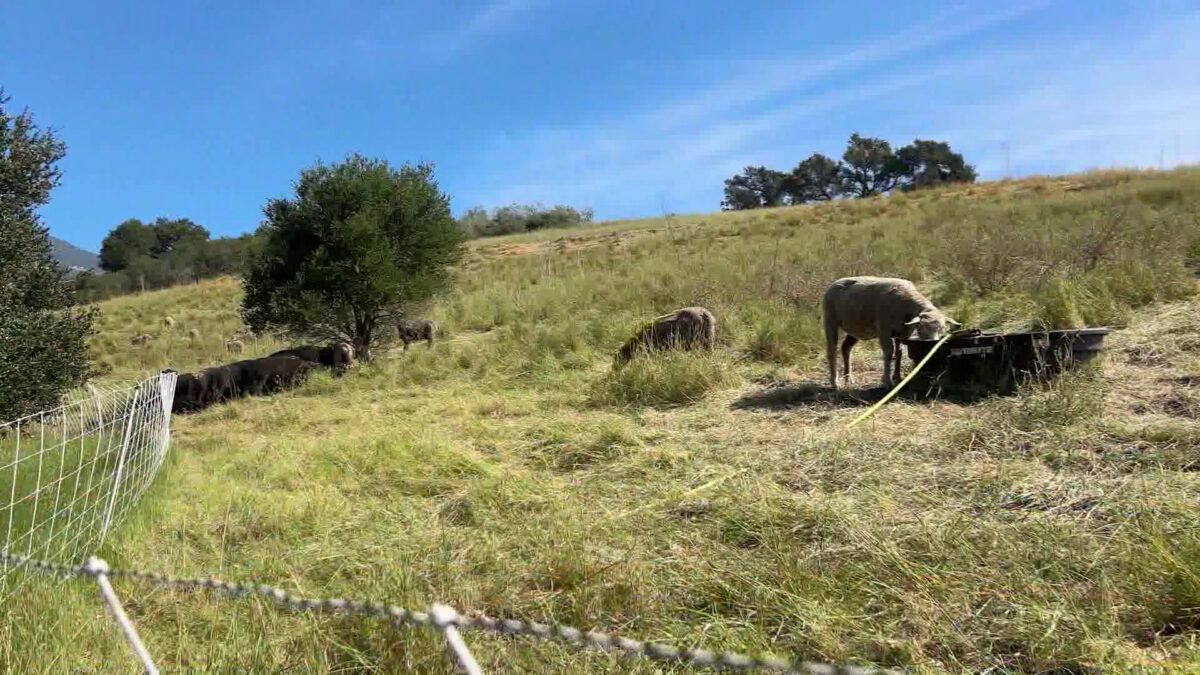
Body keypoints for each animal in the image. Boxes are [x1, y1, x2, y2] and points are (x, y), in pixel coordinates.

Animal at [822, 276, 959, 390]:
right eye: (921, 326)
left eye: (943, 328)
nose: (932, 342)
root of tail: (834, 283)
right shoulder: (884, 329)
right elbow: (888, 353)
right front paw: (886, 382)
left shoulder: (904, 332)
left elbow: (899, 353)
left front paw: (897, 378)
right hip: (830, 319)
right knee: (831, 350)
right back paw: (835, 382)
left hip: (854, 327)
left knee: (846, 348)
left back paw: (848, 378)